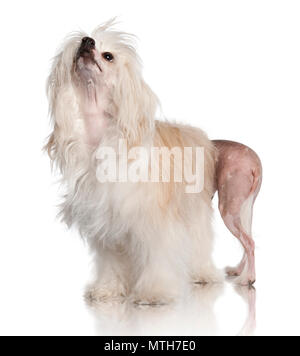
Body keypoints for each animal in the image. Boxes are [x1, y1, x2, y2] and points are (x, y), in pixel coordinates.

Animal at [45, 20, 262, 304]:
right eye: (82, 44)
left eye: (108, 56)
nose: (87, 41)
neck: (103, 137)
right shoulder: (107, 220)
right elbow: (111, 260)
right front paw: (108, 290)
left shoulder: (153, 221)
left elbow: (156, 257)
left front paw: (153, 294)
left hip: (226, 207)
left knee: (238, 242)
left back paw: (231, 277)